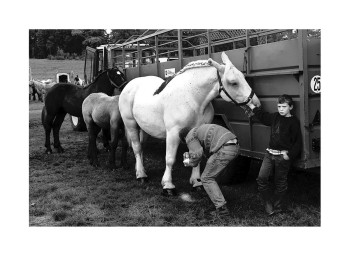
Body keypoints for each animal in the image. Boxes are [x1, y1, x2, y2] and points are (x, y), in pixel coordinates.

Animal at [119, 52, 262, 196]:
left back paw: (141, 170)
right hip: (131, 124)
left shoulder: (196, 132)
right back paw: (141, 175)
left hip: (144, 128)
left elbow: (197, 156)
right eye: (233, 83)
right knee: (137, 147)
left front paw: (197, 182)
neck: (191, 97)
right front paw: (168, 185)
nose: (256, 103)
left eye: (243, 77)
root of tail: (129, 85)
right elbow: (170, 159)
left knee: (141, 147)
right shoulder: (173, 134)